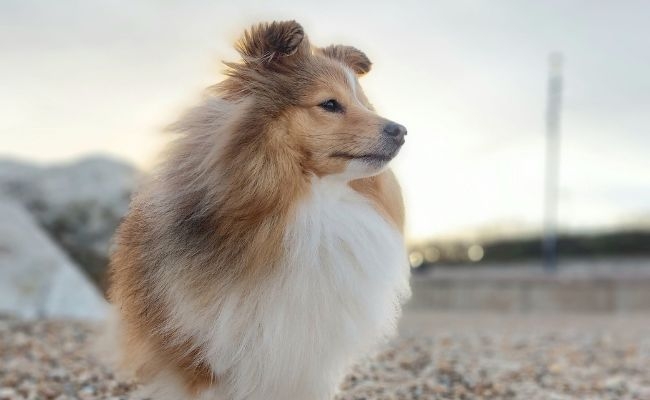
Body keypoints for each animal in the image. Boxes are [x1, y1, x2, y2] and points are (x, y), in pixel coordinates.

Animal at [108, 19, 408, 400]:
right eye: (329, 104)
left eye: (365, 104)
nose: (401, 131)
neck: (312, 205)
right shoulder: (202, 353)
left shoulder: (309, 361)